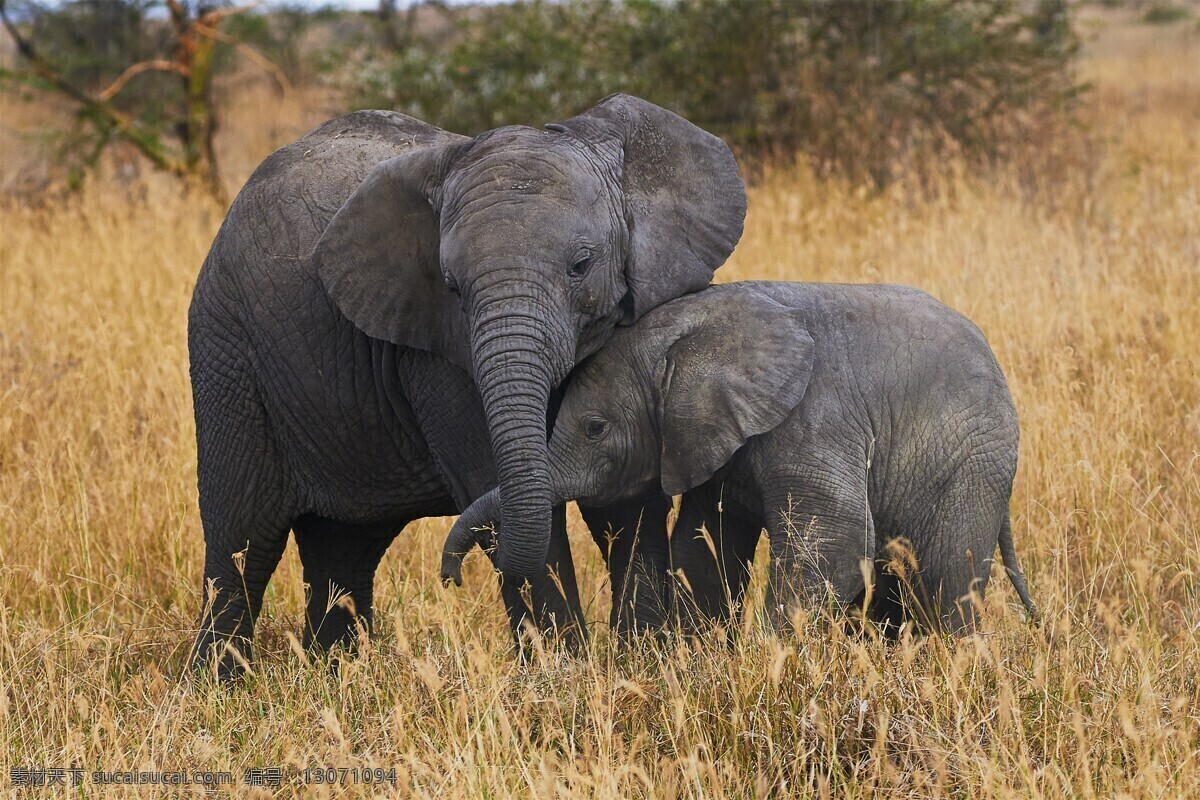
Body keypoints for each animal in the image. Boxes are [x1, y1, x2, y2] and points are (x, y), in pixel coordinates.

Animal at [188, 97, 744, 681]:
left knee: (344, 549)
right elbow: (511, 504)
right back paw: (219, 686)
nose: (448, 577)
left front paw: (646, 662)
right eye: (451, 286)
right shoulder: (437, 357)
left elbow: (626, 497)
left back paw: (335, 675)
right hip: (227, 354)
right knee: (242, 541)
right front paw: (562, 676)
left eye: (581, 266)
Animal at [439, 281, 1032, 633]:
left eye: (594, 428)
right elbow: (704, 549)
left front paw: (772, 657)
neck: (695, 330)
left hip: (971, 464)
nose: (450, 579)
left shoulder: (813, 420)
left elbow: (834, 542)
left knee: (947, 580)